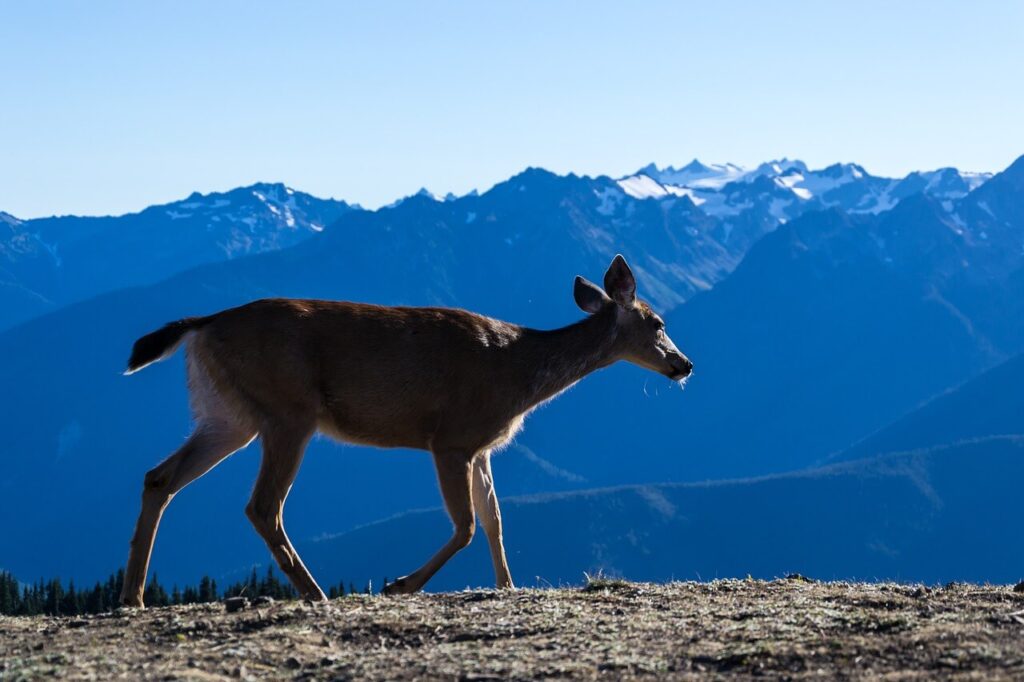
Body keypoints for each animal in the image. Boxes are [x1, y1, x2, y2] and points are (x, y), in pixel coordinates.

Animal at [119, 254, 696, 606]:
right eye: (658, 322)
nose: (685, 365)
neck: (520, 373)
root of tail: (202, 325)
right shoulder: (451, 437)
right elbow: (467, 525)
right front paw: (400, 584)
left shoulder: (482, 448)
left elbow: (495, 520)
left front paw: (507, 586)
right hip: (288, 411)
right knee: (263, 505)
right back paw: (316, 593)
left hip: (228, 415)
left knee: (158, 477)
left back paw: (134, 596)